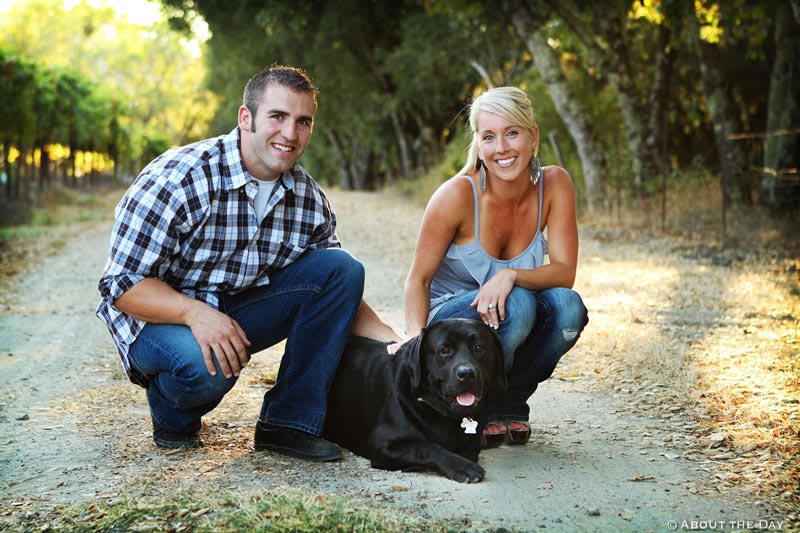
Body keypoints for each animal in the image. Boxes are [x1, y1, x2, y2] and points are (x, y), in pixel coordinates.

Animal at [322, 318, 504, 484]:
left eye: (479, 348)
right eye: (445, 350)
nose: (466, 373)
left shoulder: (472, 444)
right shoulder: (382, 444)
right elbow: (425, 447)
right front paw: (463, 467)